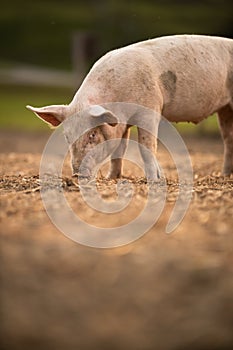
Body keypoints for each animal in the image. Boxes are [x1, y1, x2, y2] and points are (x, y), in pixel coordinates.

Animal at [27, 34, 233, 180]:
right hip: (225, 109)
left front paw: (154, 180)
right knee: (228, 138)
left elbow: (147, 146)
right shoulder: (122, 124)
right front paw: (111, 178)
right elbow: (119, 150)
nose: (77, 174)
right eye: (67, 136)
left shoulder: (150, 111)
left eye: (92, 134)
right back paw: (225, 175)